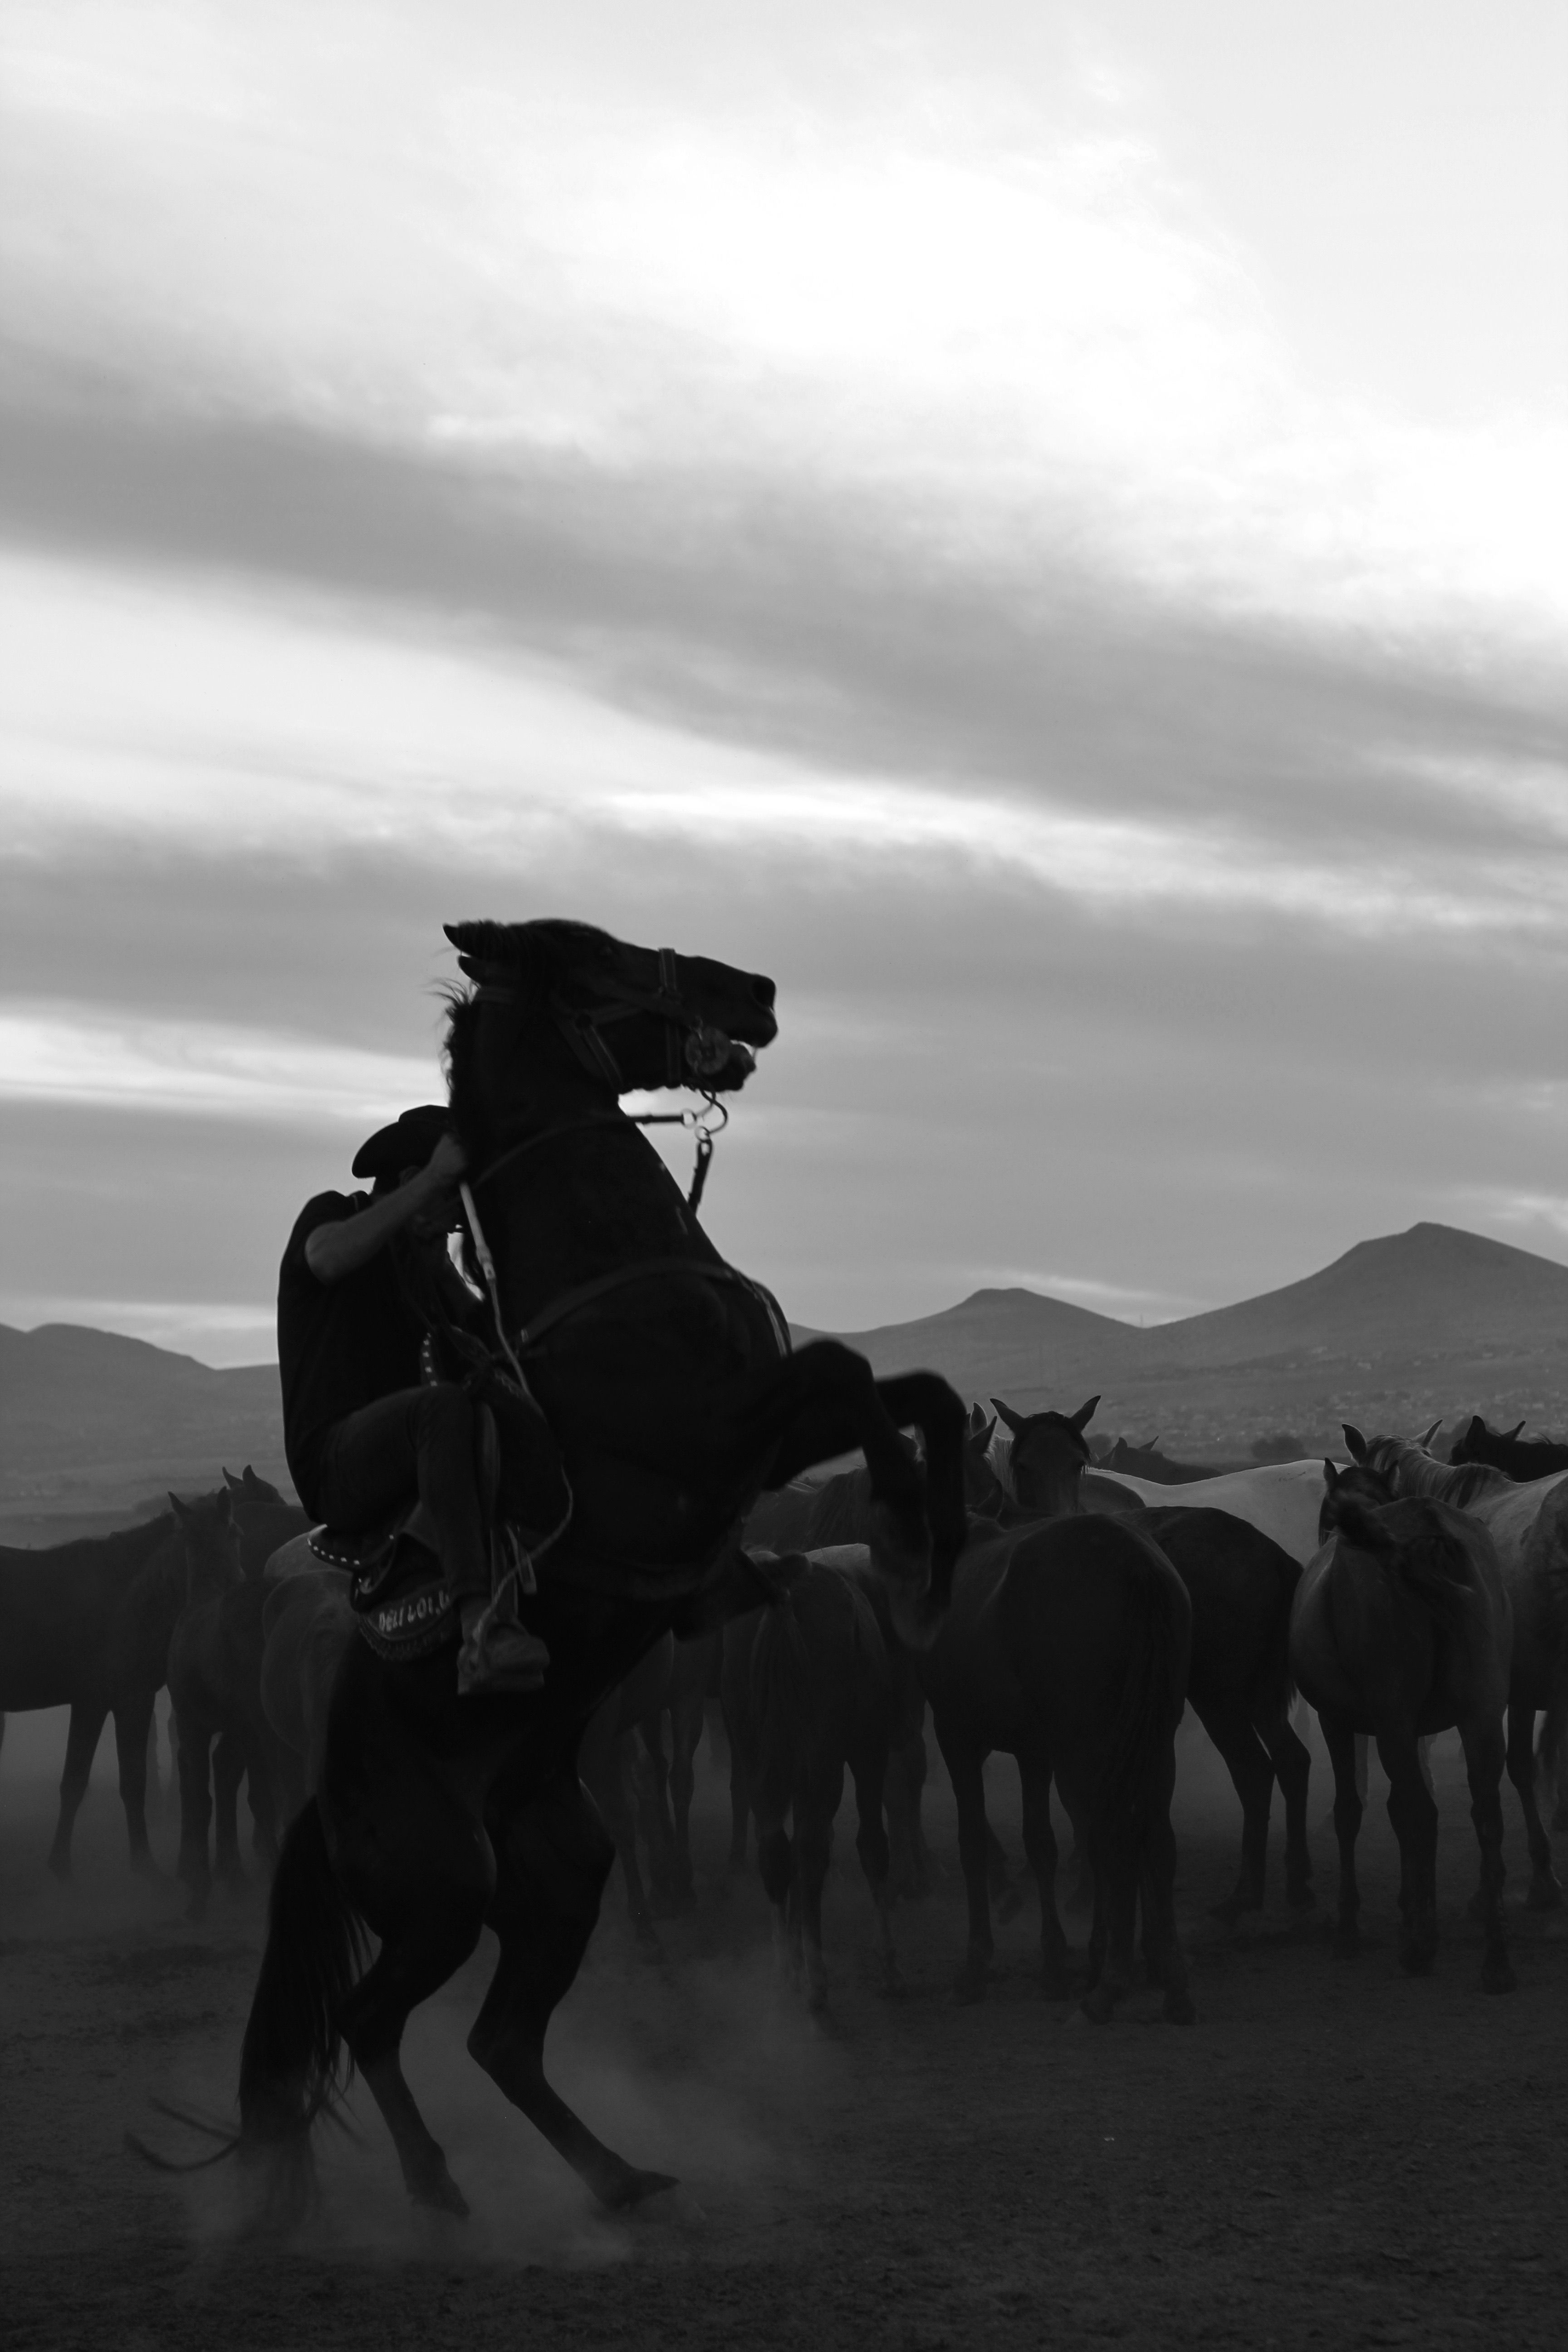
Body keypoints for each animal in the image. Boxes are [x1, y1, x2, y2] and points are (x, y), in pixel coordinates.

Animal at [166, 1490, 283, 1915]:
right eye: (238, 1532)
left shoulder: (194, 1724)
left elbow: (203, 1793)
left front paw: (202, 1885)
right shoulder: (234, 1729)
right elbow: (227, 1781)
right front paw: (230, 1876)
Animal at [722, 1553, 904, 2009]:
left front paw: (794, 1960)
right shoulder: (867, 1751)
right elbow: (872, 1846)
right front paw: (888, 1965)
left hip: (759, 1759)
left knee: (776, 1851)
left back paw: (787, 1970)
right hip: (824, 1761)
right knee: (811, 1850)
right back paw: (818, 1981)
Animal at [993, 1399, 1311, 1921]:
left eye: (1078, 1463)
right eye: (1023, 1465)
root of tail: (1273, 1556)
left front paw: (1084, 1885)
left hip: (1221, 1699)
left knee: (1254, 1772)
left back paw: (1246, 1891)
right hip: (1258, 1696)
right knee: (1293, 1762)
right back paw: (1294, 1881)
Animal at [1292, 1465, 1514, 1991]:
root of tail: (1428, 1531)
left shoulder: (1340, 1722)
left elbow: (1353, 1809)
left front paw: (1351, 1928)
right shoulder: (1417, 1731)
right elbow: (1402, 1808)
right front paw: (1410, 1906)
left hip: (1391, 1720)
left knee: (1420, 1811)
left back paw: (1420, 1948)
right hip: (1481, 1719)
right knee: (1486, 1817)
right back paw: (1495, 1958)